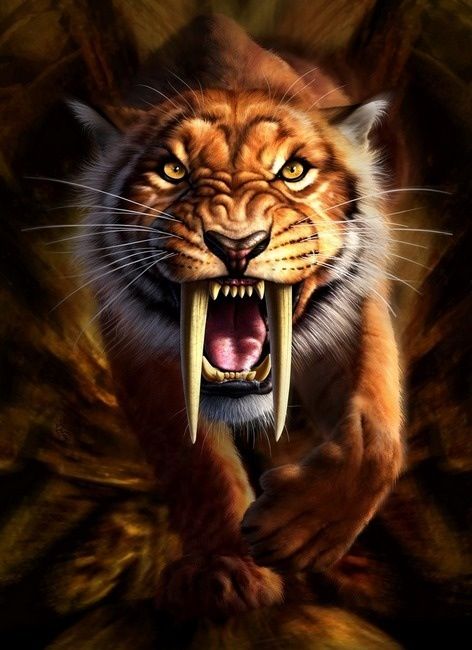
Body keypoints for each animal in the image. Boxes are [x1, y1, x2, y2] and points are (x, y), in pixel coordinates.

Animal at [69, 15, 403, 619]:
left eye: (292, 171)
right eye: (173, 170)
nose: (237, 244)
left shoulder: (355, 309)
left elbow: (374, 437)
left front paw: (297, 532)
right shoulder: (141, 350)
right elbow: (197, 463)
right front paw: (223, 569)